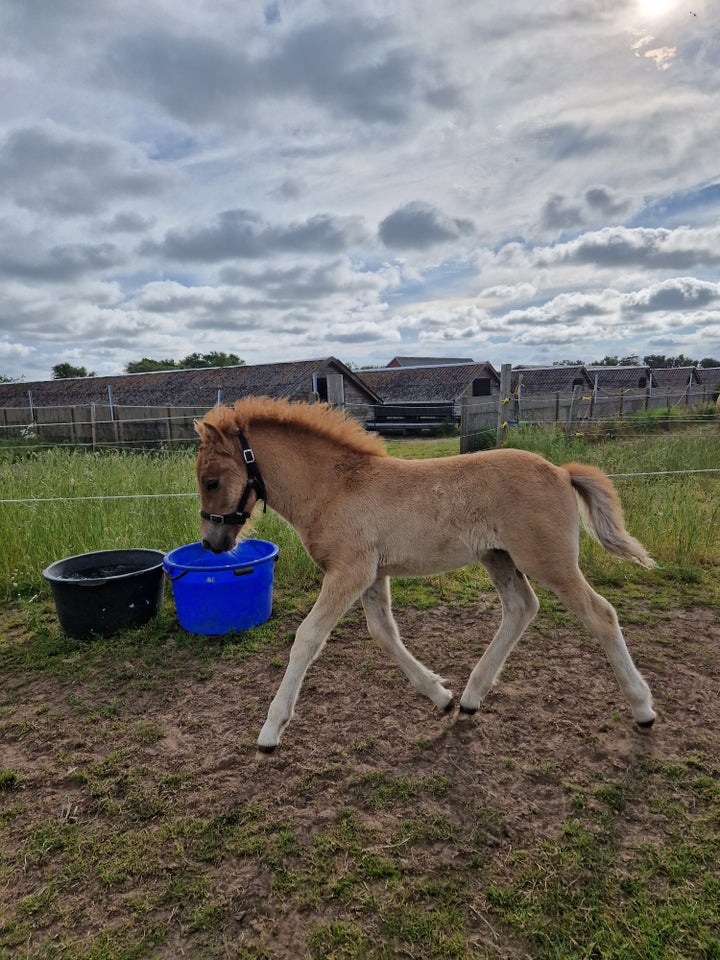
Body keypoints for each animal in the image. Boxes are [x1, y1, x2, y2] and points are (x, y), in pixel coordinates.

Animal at [194, 396, 656, 752]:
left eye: (212, 480)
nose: (213, 543)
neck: (334, 488)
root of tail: (561, 471)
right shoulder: (371, 575)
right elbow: (384, 633)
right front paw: (441, 695)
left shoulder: (349, 572)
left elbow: (308, 638)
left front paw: (270, 730)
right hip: (498, 557)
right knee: (521, 608)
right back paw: (469, 698)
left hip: (549, 561)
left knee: (600, 615)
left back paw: (643, 709)